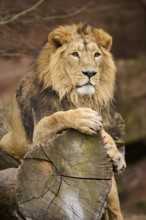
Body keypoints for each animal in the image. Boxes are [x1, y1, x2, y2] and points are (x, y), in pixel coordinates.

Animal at [0, 23, 125, 219]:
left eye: (97, 55)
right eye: (75, 54)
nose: (90, 73)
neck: (76, 96)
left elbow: (105, 132)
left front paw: (116, 155)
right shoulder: (38, 138)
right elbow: (57, 117)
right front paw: (85, 118)